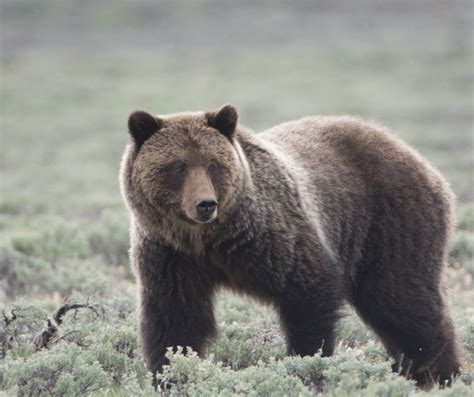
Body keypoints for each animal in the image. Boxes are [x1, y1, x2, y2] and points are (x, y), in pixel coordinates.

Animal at [118, 102, 462, 386]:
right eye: (178, 166)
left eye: (213, 164)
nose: (205, 204)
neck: (211, 241)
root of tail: (413, 154)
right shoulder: (171, 255)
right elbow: (176, 319)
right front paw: (171, 374)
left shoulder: (274, 236)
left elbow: (309, 294)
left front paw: (307, 364)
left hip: (391, 222)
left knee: (401, 298)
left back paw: (435, 372)